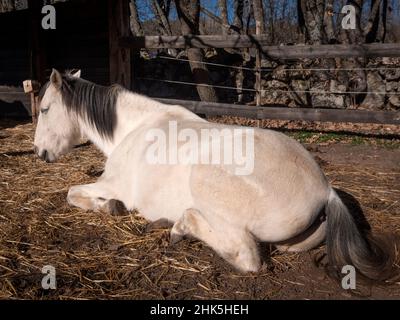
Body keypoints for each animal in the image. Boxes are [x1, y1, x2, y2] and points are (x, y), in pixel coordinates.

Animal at [33, 70, 390, 280]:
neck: (134, 129)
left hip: (205, 183)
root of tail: (324, 190)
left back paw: (180, 226)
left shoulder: (112, 184)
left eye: (45, 109)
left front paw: (110, 207)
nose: (39, 152)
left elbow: (73, 193)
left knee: (244, 254)